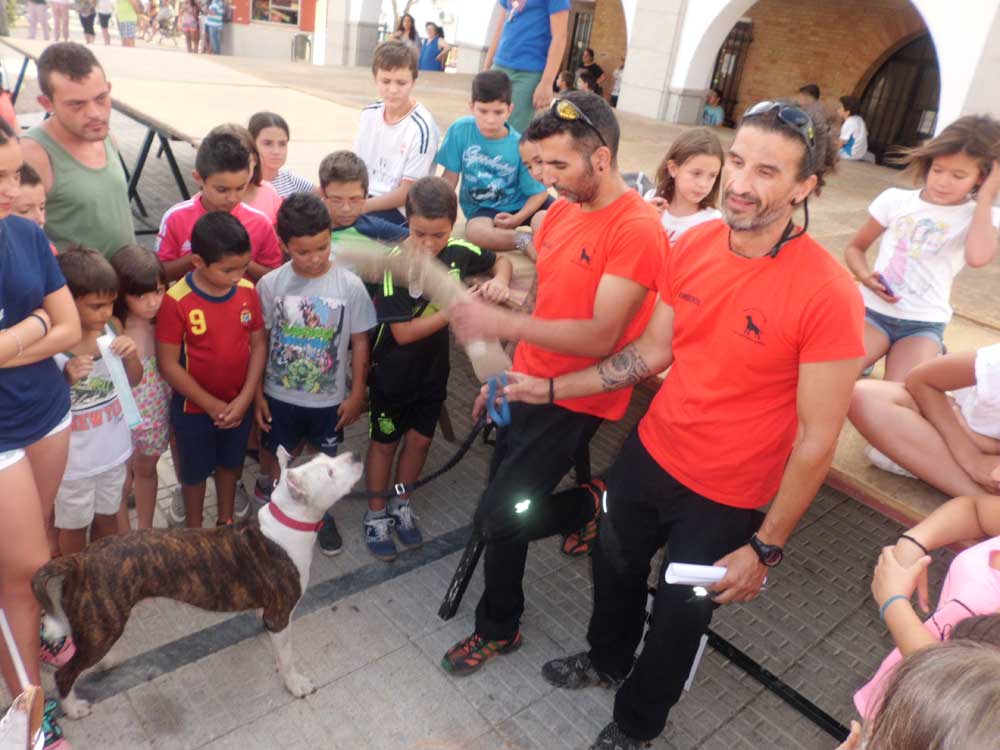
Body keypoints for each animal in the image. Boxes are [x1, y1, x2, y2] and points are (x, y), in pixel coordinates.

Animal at [33, 450, 366, 720]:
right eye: (330, 472)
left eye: (327, 455)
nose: (356, 456)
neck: (287, 522)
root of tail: (81, 558)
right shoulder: (281, 614)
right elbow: (286, 657)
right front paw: (295, 684)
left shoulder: (271, 614)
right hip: (105, 624)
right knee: (64, 675)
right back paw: (73, 708)